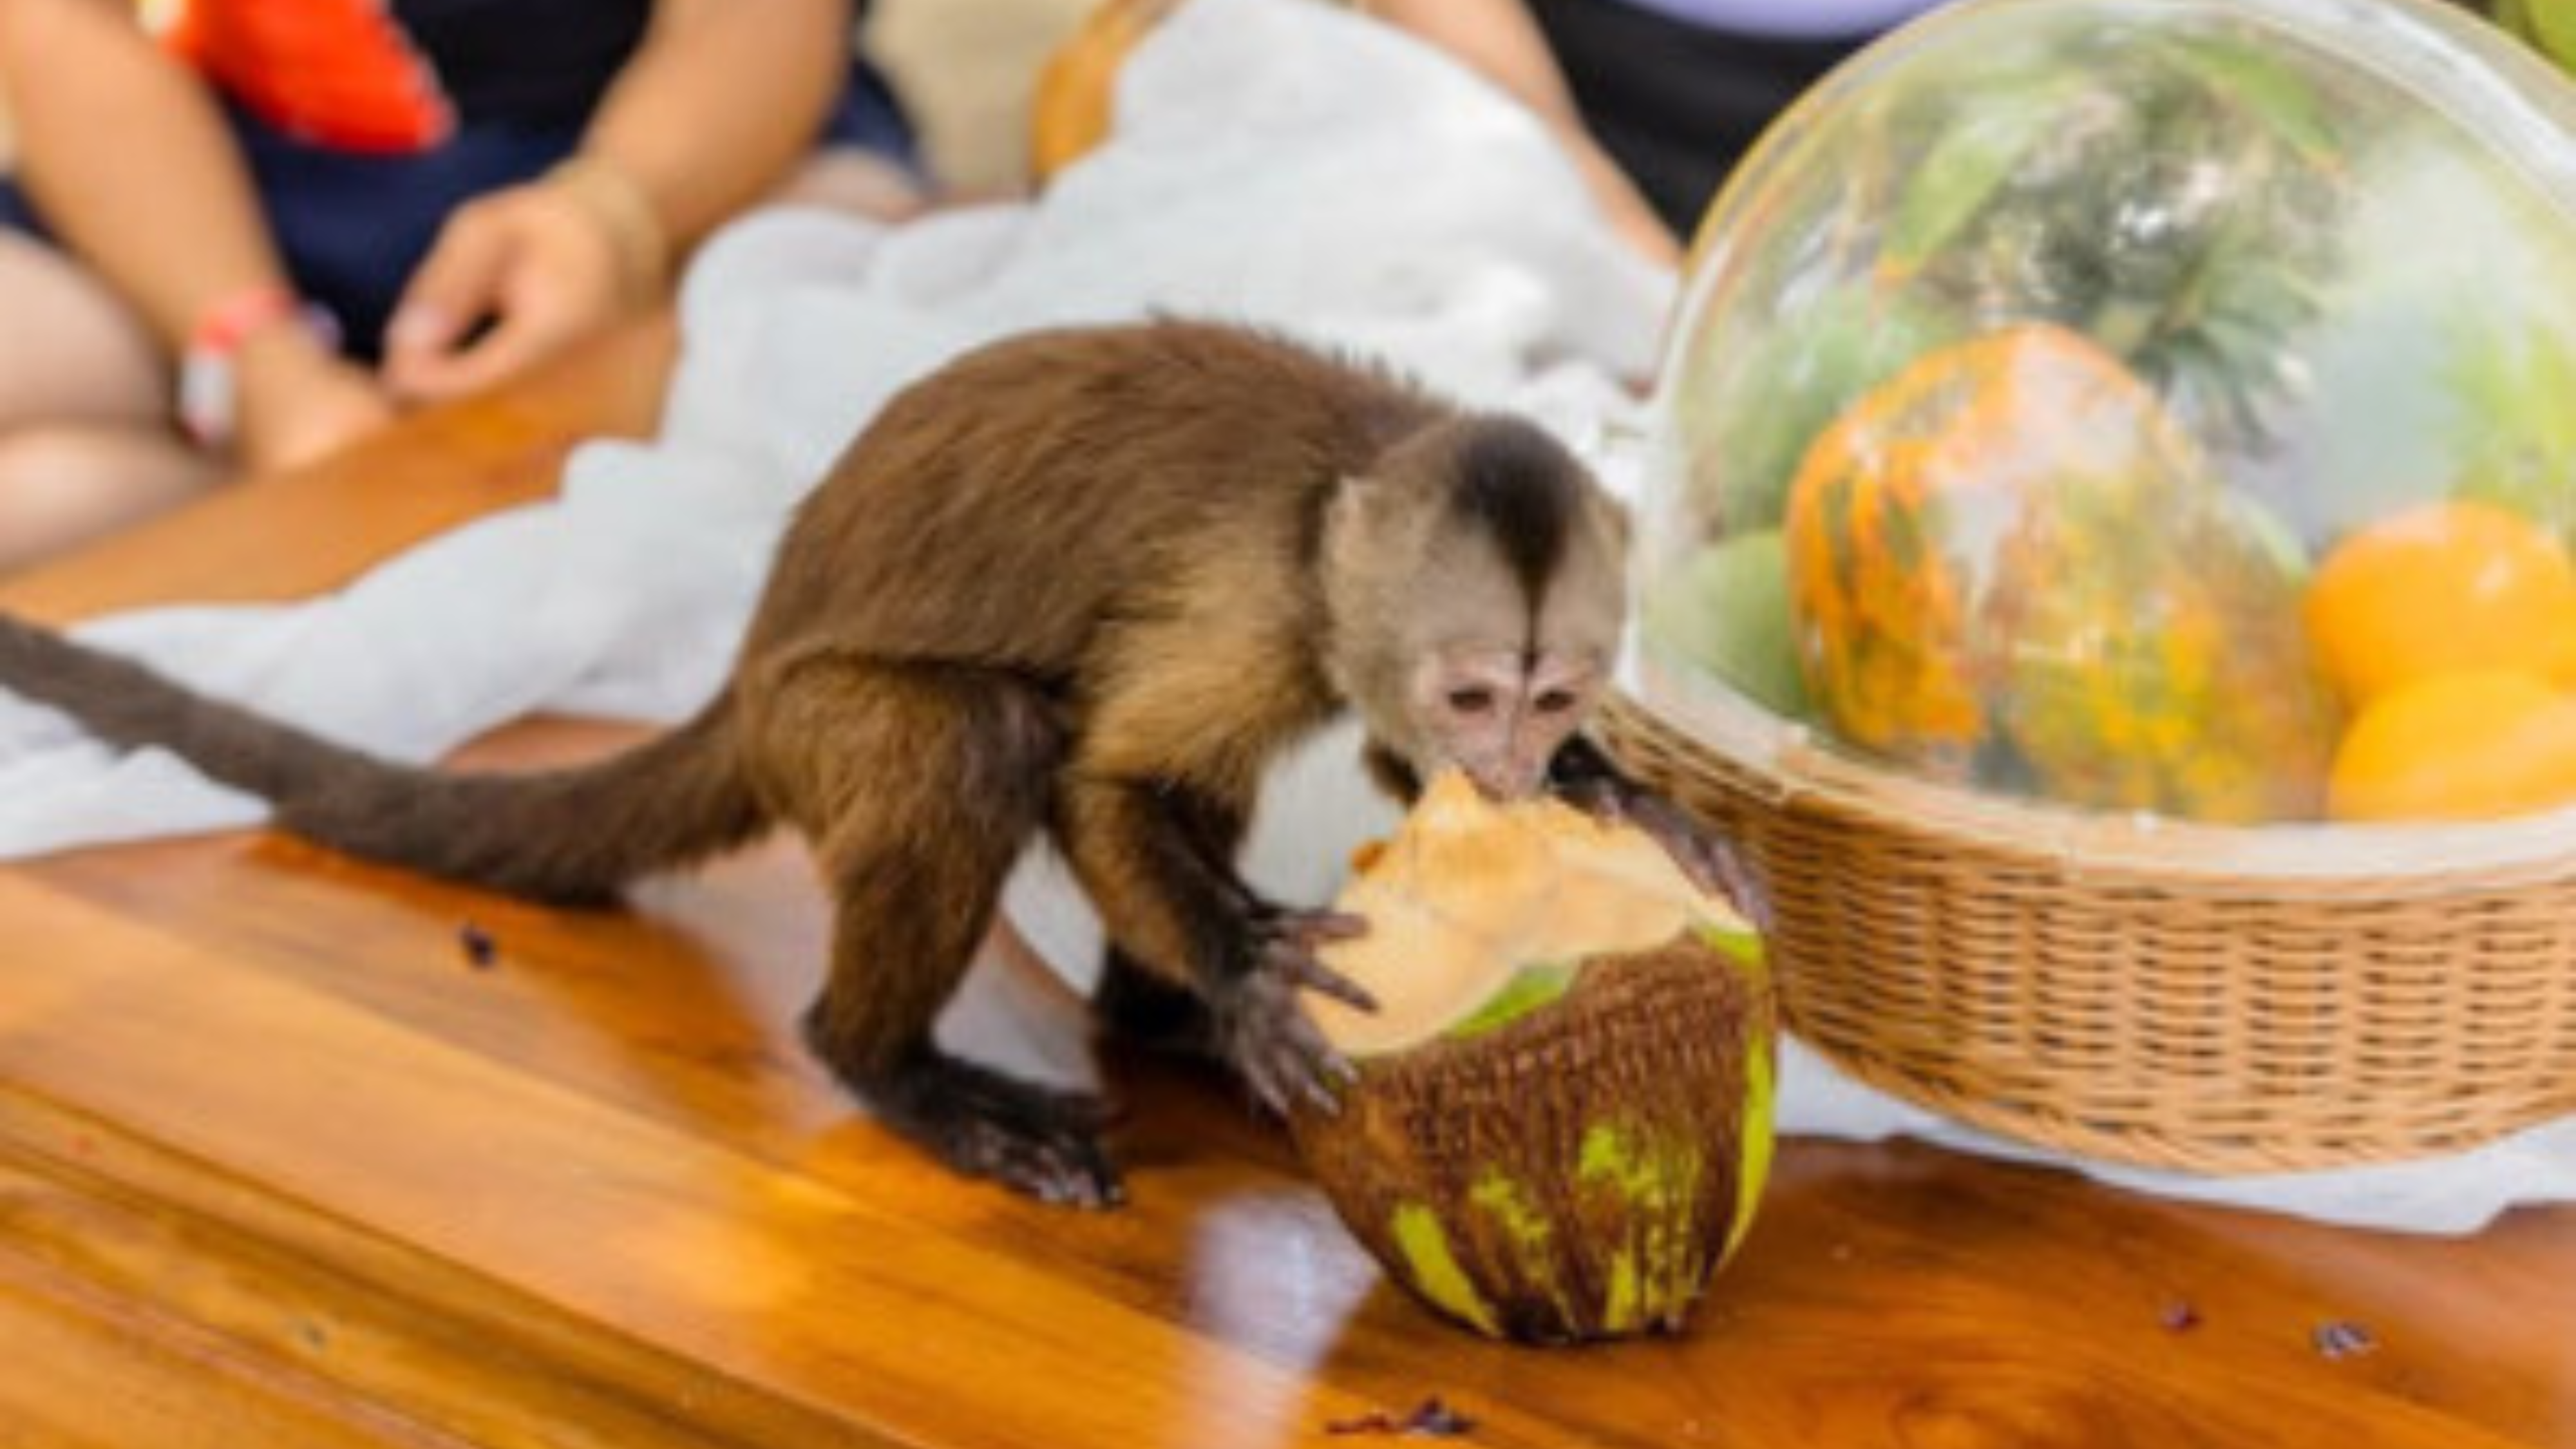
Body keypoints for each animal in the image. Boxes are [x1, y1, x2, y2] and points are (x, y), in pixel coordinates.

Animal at [0, 320, 1759, 1207]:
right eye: (1476, 692)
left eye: (1550, 696)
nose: (1517, 764)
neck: (1352, 475)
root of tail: (746, 661)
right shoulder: (1260, 603)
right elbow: (1103, 783)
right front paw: (1248, 981)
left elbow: (1391, 782)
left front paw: (1618, 806)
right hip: (818, 725)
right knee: (972, 741)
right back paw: (894, 1063)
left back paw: (1153, 1029)